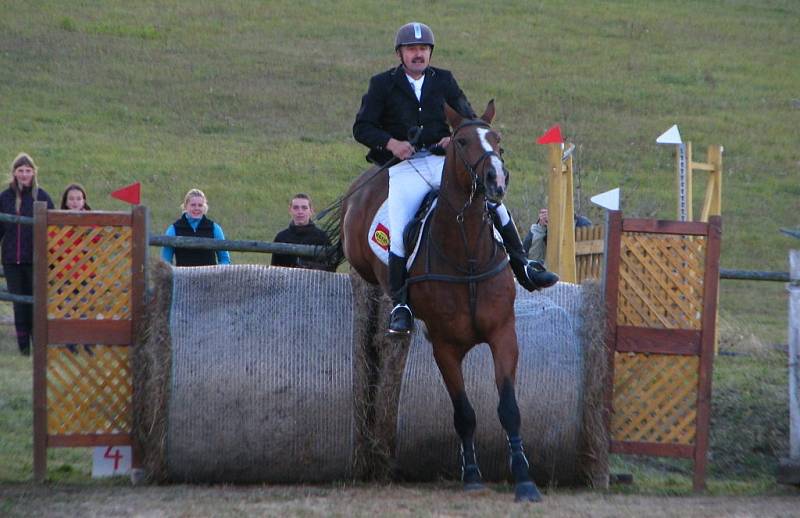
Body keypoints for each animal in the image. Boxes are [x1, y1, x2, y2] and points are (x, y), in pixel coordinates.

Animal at [334, 101, 540, 504]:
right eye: (461, 141)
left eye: (497, 139)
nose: (496, 180)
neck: (467, 251)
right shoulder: (445, 347)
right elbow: (464, 414)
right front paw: (472, 474)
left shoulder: (503, 334)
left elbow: (509, 409)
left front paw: (524, 478)